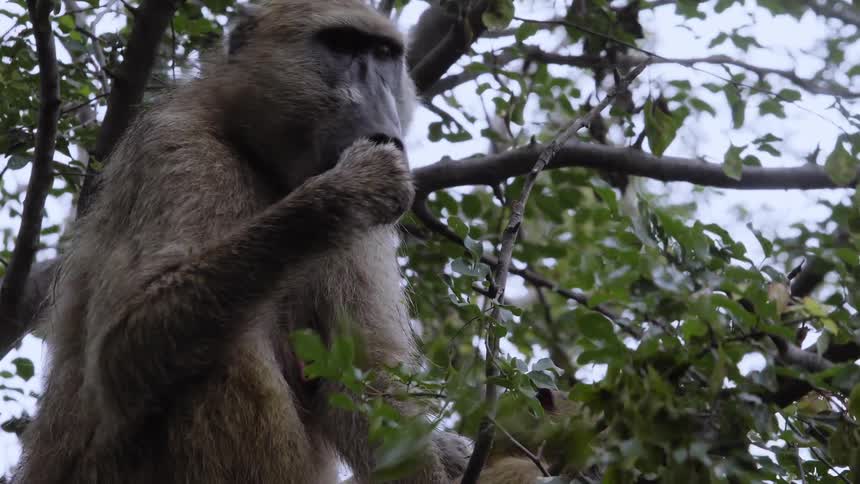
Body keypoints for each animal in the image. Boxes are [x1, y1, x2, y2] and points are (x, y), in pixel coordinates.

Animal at [13, 1, 470, 483]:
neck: (254, 153)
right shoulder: (177, 148)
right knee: (224, 354)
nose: (379, 112)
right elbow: (123, 346)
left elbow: (364, 380)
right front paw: (339, 194)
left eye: (383, 54)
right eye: (341, 46)